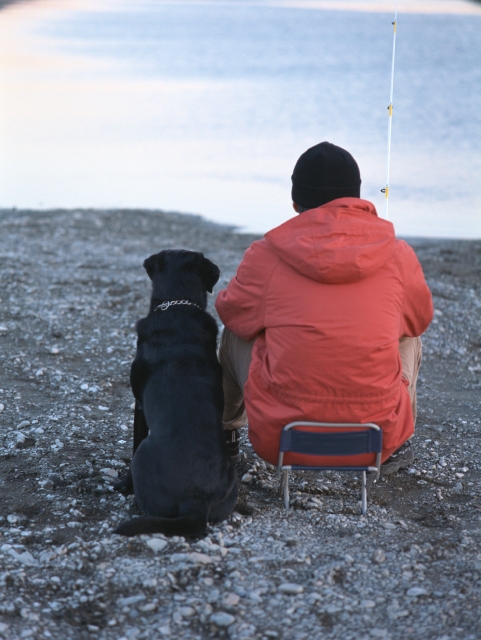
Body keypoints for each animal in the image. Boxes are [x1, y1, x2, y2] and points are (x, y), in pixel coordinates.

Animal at [114, 249, 238, 536]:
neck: (179, 305)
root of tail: (196, 502)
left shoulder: (139, 404)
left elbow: (134, 440)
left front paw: (123, 483)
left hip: (145, 456)